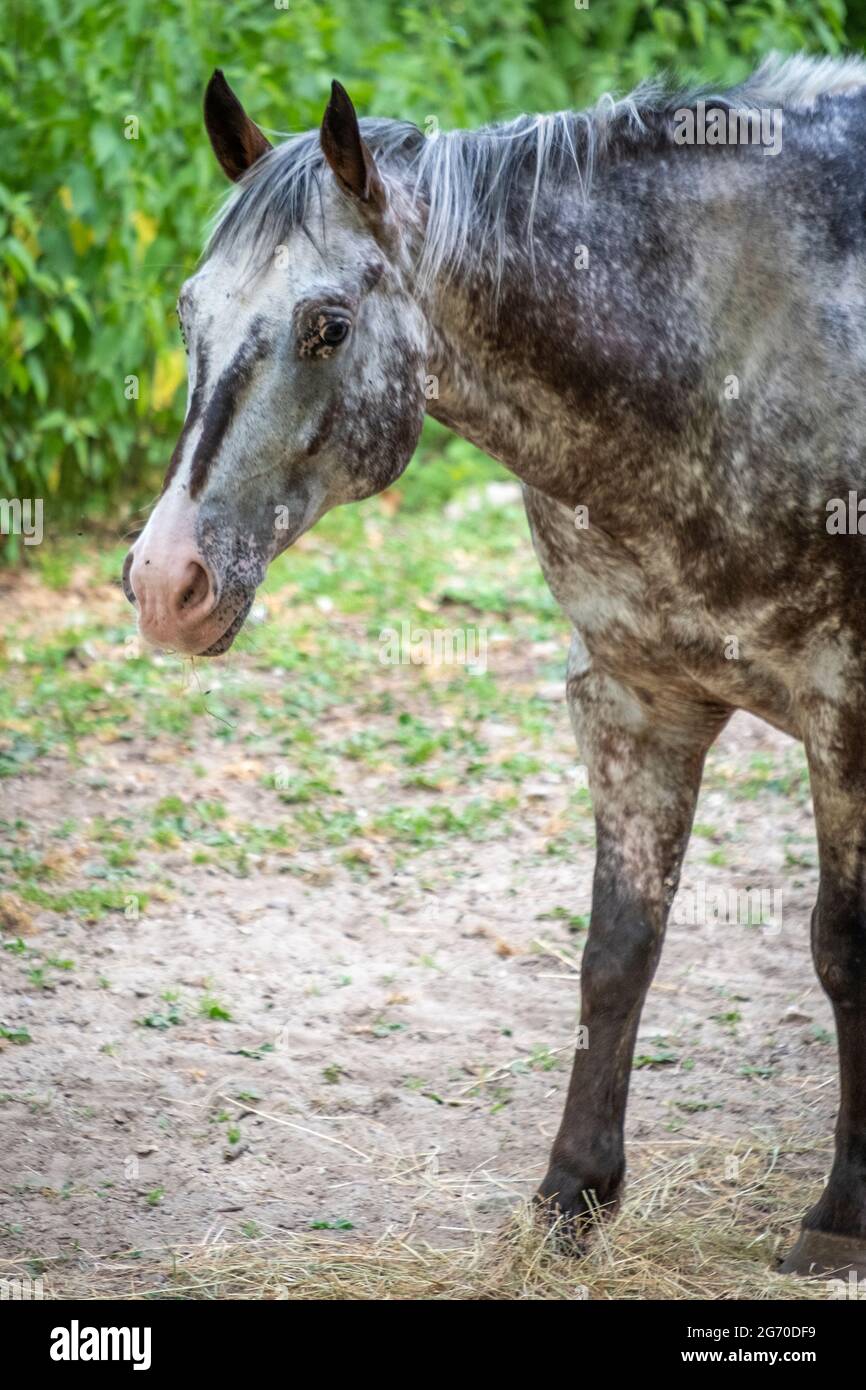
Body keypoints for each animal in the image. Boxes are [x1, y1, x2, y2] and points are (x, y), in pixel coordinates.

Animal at [123, 53, 866, 1277]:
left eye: (329, 325)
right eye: (191, 309)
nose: (164, 581)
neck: (726, 348)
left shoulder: (843, 711)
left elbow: (841, 947)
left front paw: (839, 1213)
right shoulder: (634, 701)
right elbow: (617, 948)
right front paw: (572, 1192)